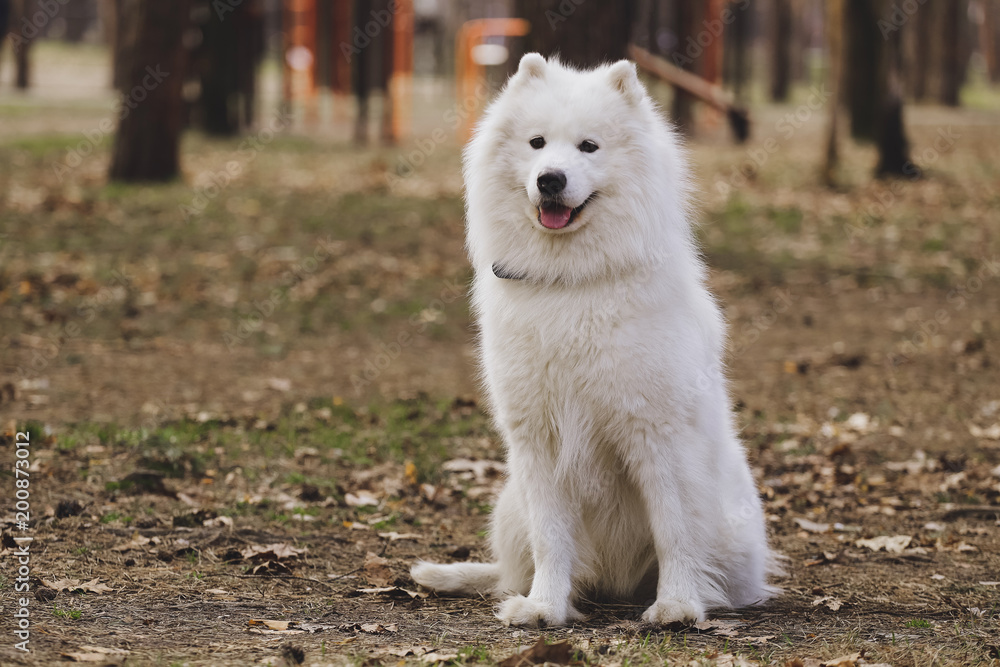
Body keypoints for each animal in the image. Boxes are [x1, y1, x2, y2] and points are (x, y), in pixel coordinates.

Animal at [410, 54, 776, 628]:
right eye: (537, 143)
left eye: (589, 146)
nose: (550, 179)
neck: (571, 283)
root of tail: (617, 584)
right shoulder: (538, 441)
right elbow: (551, 539)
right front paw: (544, 607)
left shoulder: (658, 435)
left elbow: (674, 529)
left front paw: (676, 604)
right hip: (511, 505)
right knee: (516, 567)